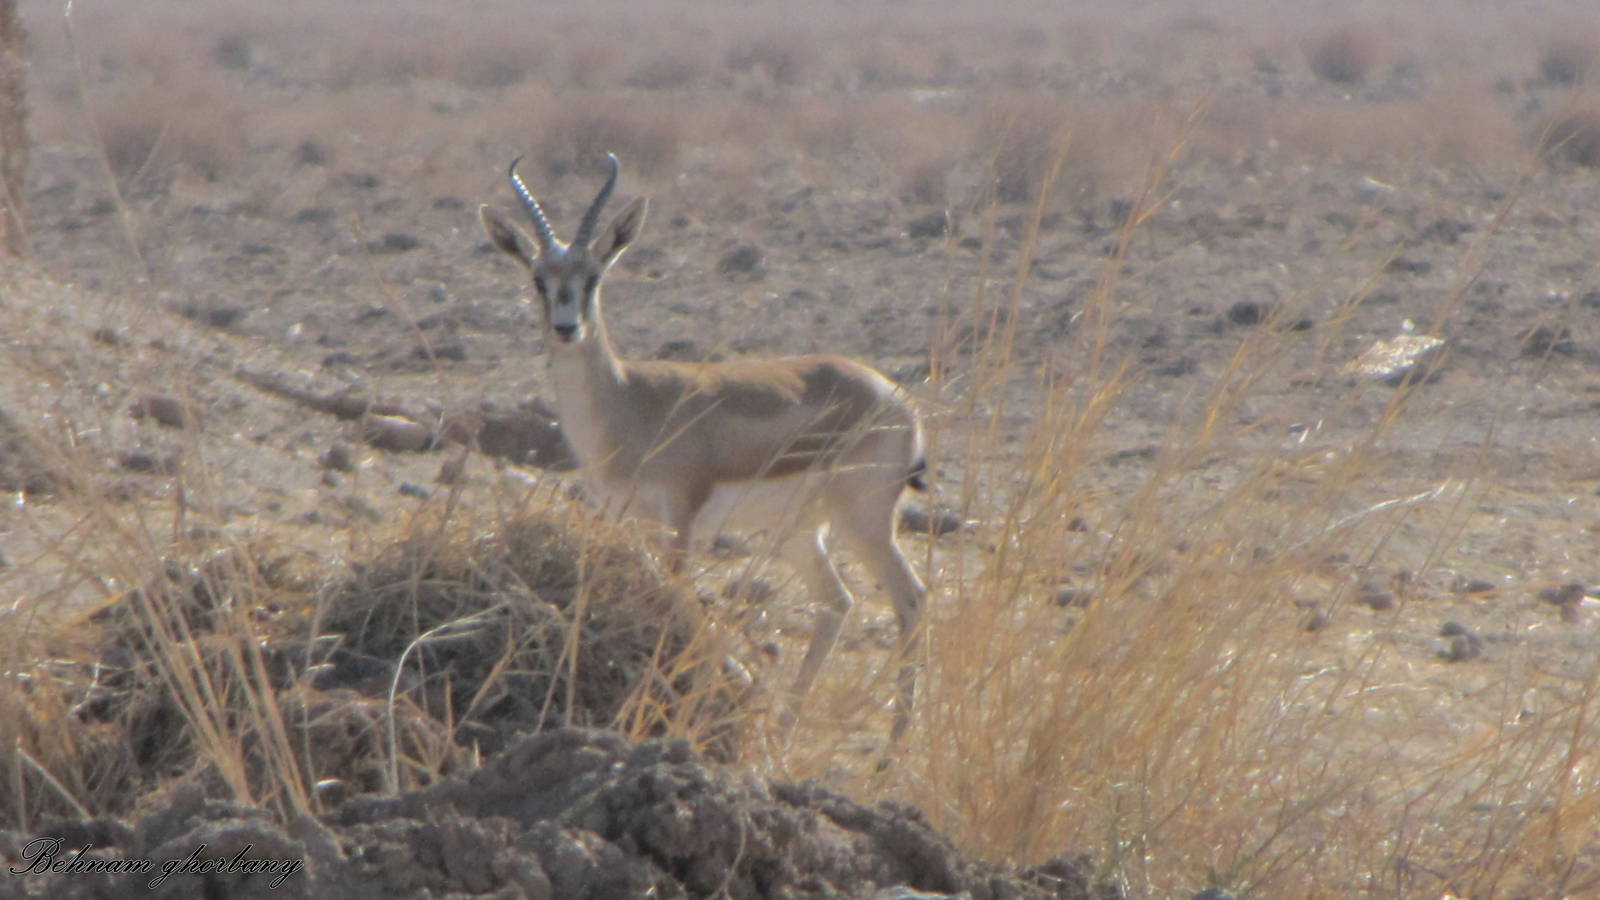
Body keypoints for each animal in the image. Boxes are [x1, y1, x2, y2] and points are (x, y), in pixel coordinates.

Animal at [479, 154, 927, 737]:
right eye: (538, 279)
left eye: (593, 277)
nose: (565, 328)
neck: (629, 401)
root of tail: (898, 399)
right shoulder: (628, 519)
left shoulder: (681, 519)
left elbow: (677, 603)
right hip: (798, 531)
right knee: (837, 603)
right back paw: (786, 727)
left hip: (863, 521)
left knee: (910, 599)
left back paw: (894, 744)